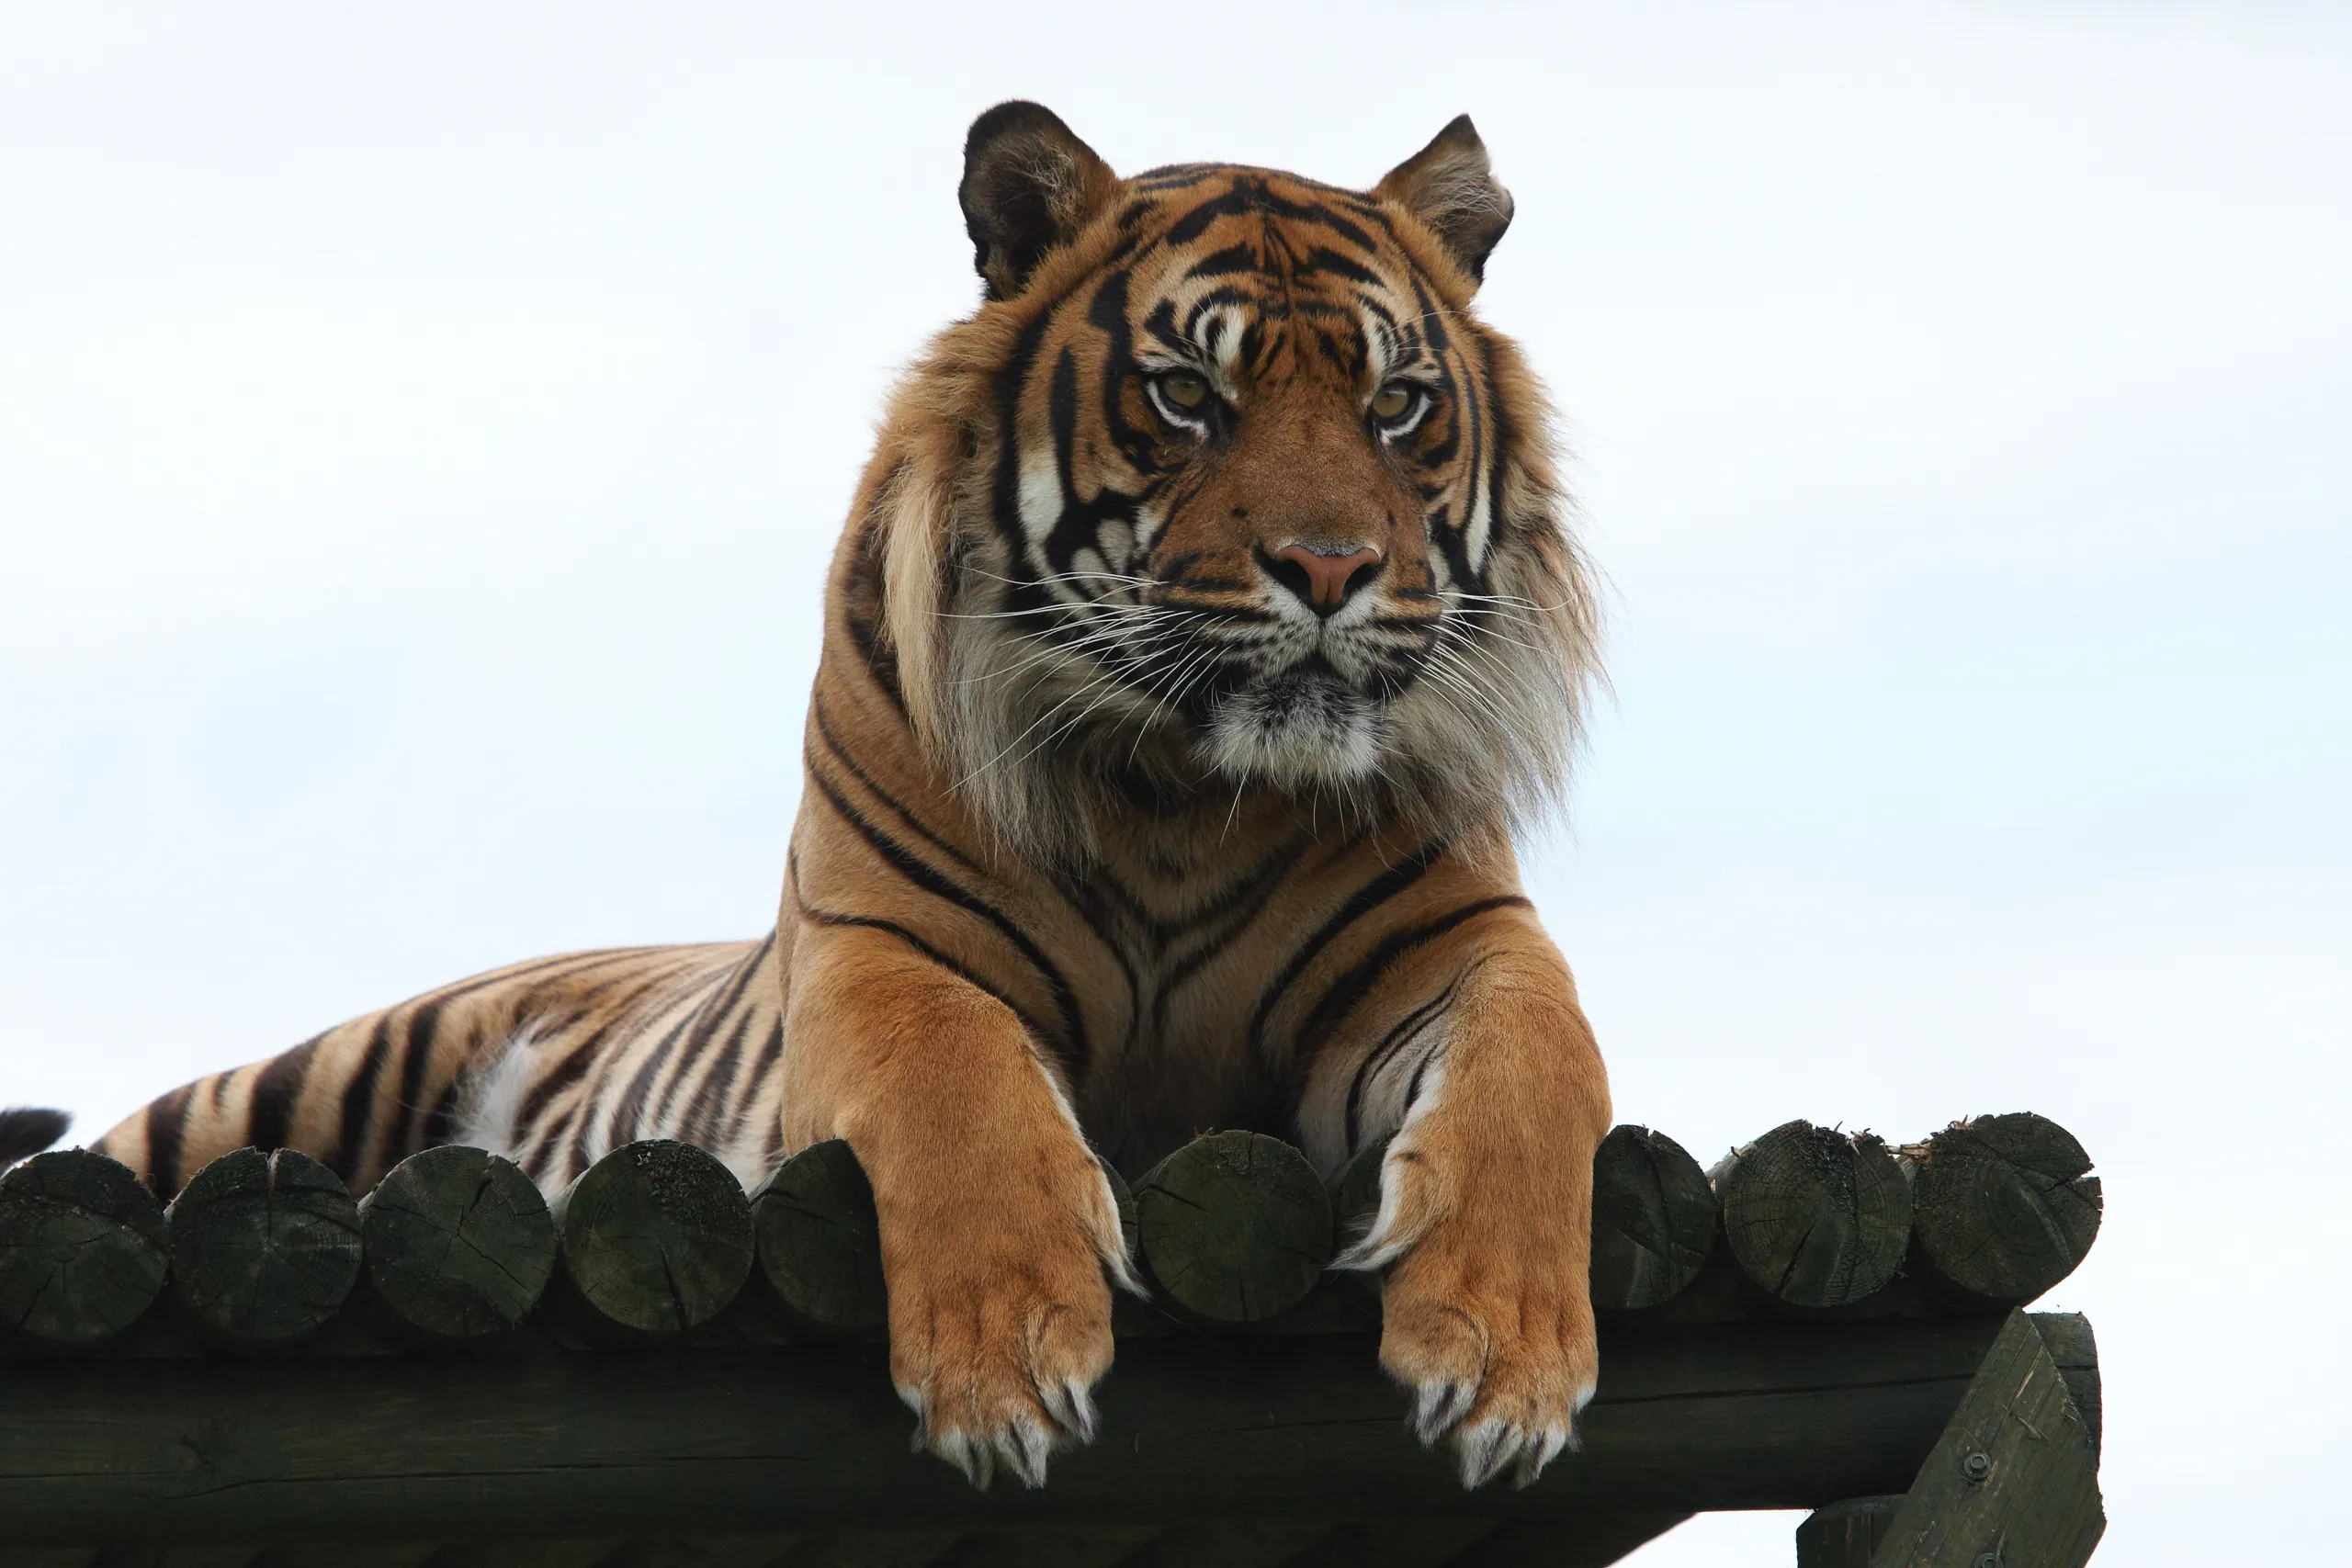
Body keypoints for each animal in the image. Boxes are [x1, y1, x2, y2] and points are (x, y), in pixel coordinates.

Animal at [11, 102, 1611, 1494]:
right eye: (1186, 397)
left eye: (1396, 406)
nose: (1333, 569)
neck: (1179, 790)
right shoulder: (884, 952)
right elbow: (960, 1089)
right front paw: (1009, 1366)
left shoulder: (1466, 938)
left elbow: (1543, 1077)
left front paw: (1502, 1361)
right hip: (281, 1088)